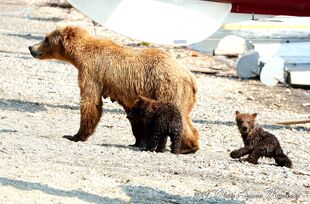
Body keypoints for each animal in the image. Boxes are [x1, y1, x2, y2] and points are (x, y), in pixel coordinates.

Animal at [28, 25, 199, 153]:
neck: (79, 56)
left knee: (179, 116)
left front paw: (75, 135)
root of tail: (191, 77)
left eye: (46, 38)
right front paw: (139, 140)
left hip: (167, 88)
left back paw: (187, 147)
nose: (30, 47)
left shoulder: (92, 73)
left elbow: (90, 103)